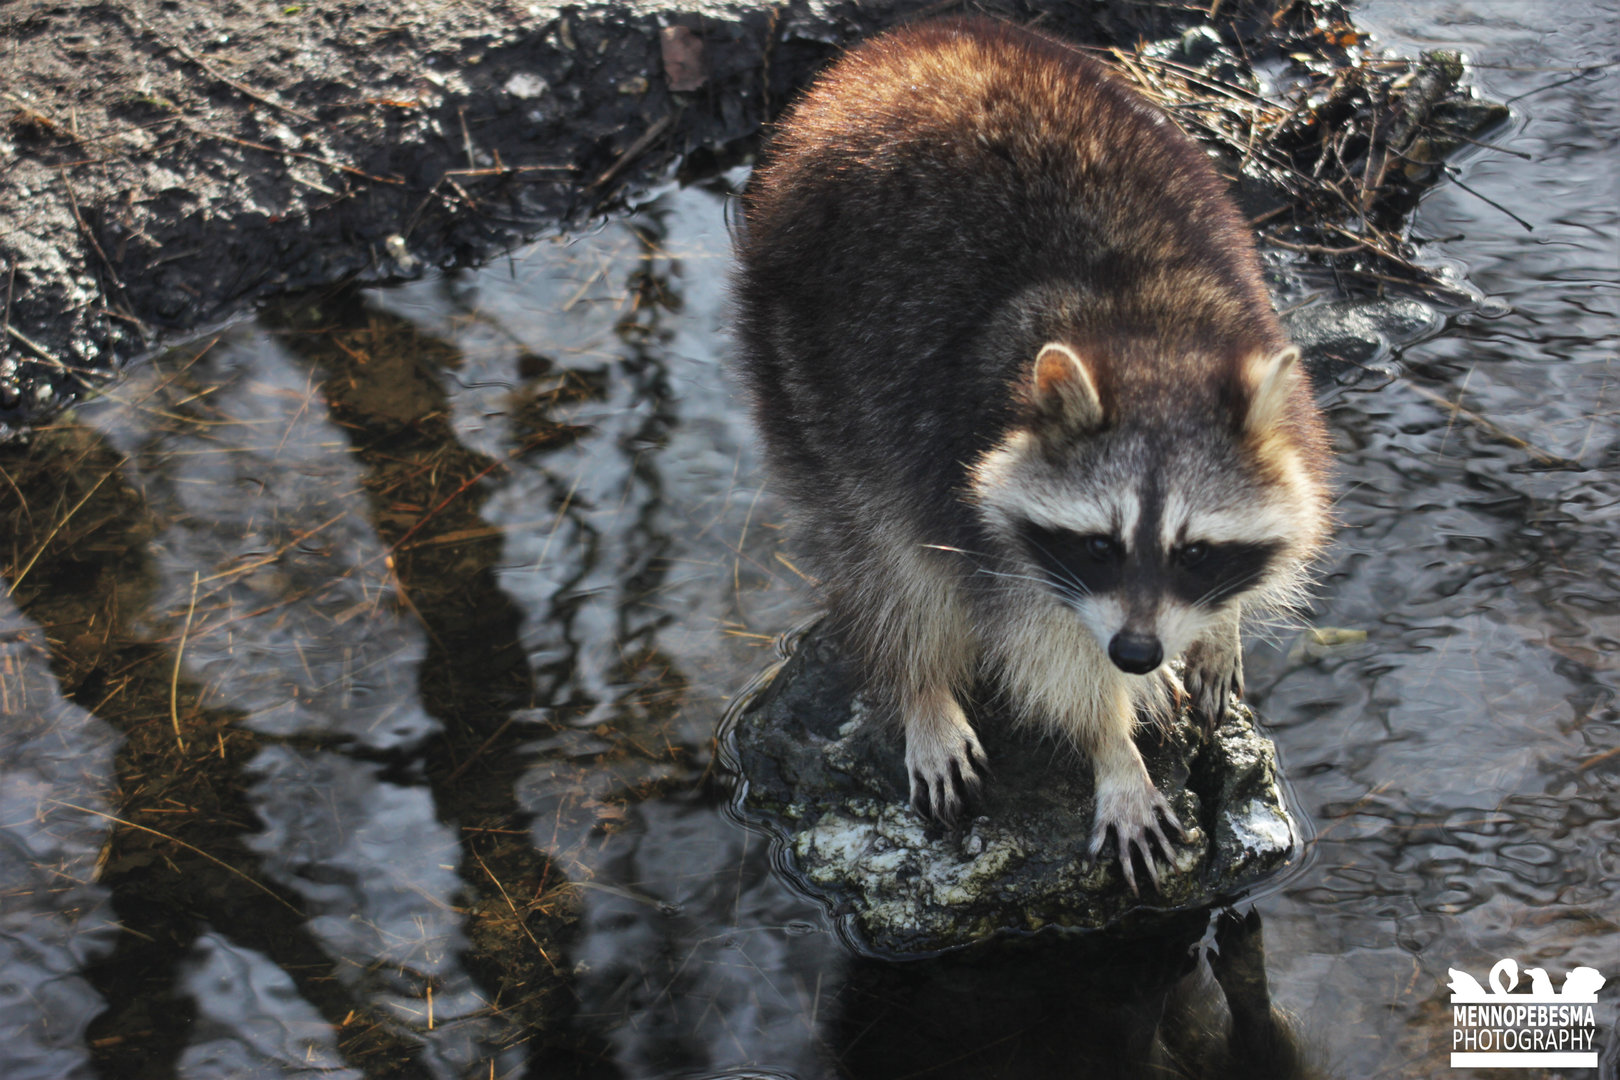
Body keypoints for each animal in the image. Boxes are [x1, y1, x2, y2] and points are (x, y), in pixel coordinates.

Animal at [733, 17, 1331, 891]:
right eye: (1098, 545)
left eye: (1193, 552)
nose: (1136, 652)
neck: (1145, 334)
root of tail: (900, 44)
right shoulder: (971, 487)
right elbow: (1043, 654)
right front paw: (1112, 750)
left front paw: (1221, 627)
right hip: (802, 351)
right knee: (881, 553)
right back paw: (922, 686)